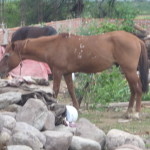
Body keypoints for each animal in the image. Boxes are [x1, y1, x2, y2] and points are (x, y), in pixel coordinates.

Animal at [0, 30, 148, 118]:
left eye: (6, 55)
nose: (2, 71)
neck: (53, 46)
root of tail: (136, 39)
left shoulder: (58, 72)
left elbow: (55, 90)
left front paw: (53, 106)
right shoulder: (67, 73)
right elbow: (71, 90)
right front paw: (77, 108)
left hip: (129, 70)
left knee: (138, 88)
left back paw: (136, 112)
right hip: (127, 70)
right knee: (133, 89)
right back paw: (128, 111)